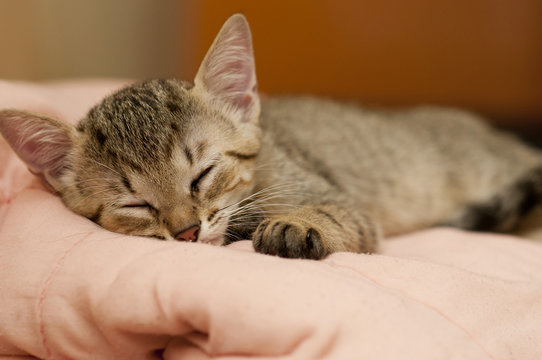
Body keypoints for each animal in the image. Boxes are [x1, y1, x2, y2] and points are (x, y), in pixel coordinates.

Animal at [1, 14, 542, 258]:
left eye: (202, 176)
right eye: (136, 205)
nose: (187, 232)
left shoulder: (344, 203)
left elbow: (334, 214)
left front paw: (296, 225)